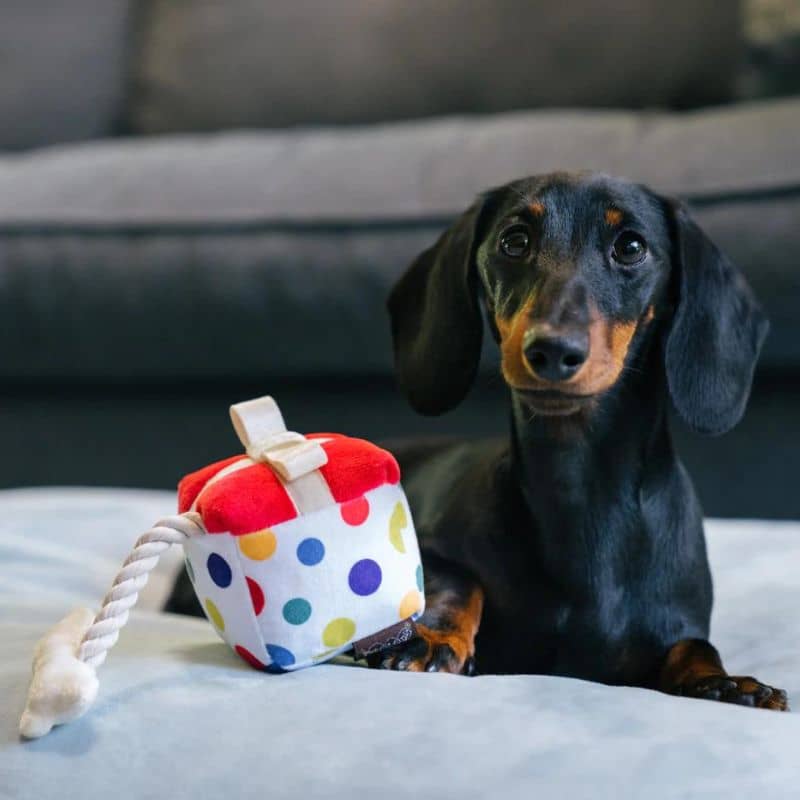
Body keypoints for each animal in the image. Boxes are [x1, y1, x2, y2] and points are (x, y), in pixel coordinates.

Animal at [376, 172, 788, 708]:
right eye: (514, 241)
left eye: (631, 247)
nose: (552, 351)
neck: (577, 488)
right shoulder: (434, 545)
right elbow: (457, 578)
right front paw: (435, 636)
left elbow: (695, 644)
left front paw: (723, 683)